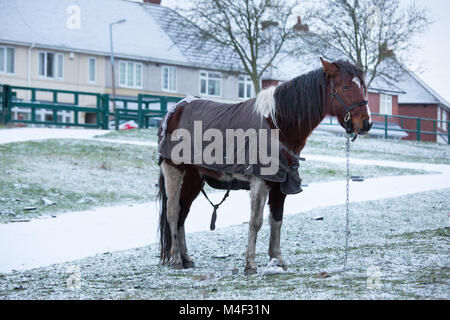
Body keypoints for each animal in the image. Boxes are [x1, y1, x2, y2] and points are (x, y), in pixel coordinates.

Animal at [156, 58, 370, 274]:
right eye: (345, 87)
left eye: (362, 87)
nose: (366, 123)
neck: (278, 126)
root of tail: (176, 110)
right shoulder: (260, 181)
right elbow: (256, 222)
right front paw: (250, 264)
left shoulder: (281, 184)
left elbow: (276, 220)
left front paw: (277, 260)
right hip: (174, 172)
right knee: (173, 213)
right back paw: (176, 259)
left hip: (193, 178)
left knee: (182, 213)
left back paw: (186, 258)